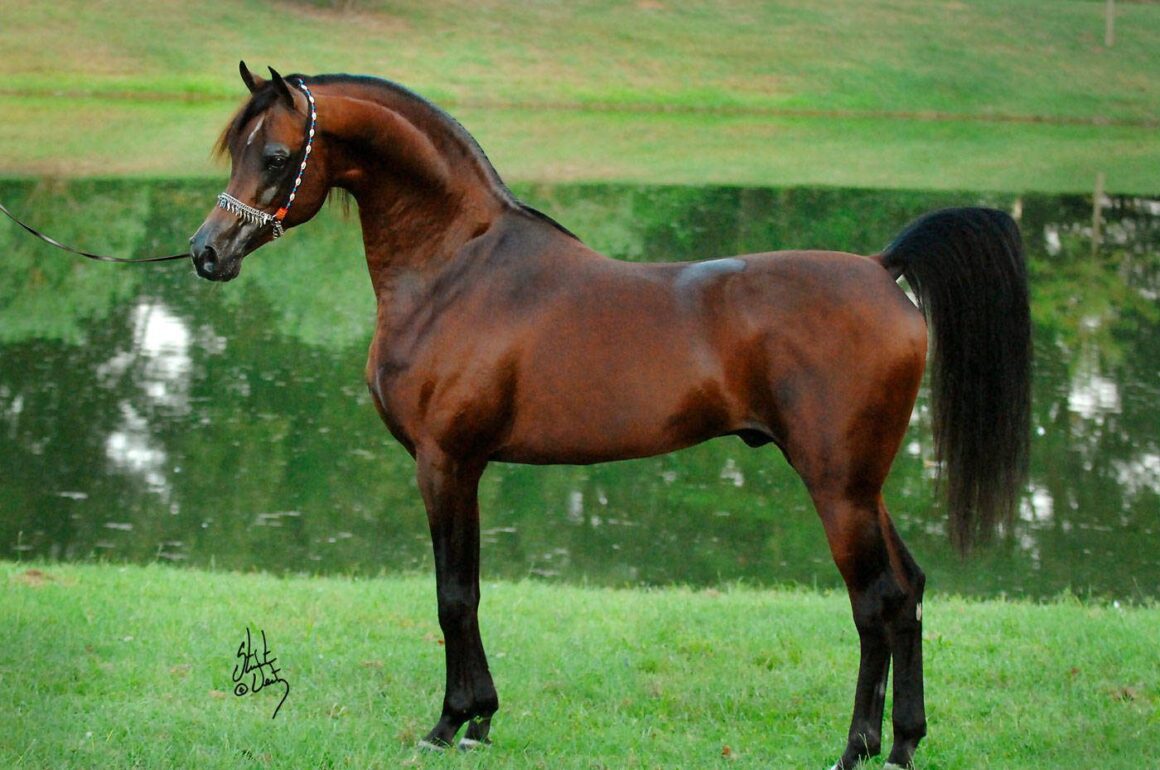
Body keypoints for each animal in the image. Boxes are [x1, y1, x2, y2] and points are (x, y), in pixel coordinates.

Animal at [190, 63, 1031, 769]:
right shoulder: (468, 467)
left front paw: (449, 723)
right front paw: (482, 720)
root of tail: (883, 270)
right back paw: (904, 744)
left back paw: (854, 749)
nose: (206, 252)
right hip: (864, 485)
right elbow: (471, 591)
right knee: (909, 592)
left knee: (875, 602)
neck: (457, 269)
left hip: (838, 489)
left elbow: (453, 596)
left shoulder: (445, 462)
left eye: (274, 155)